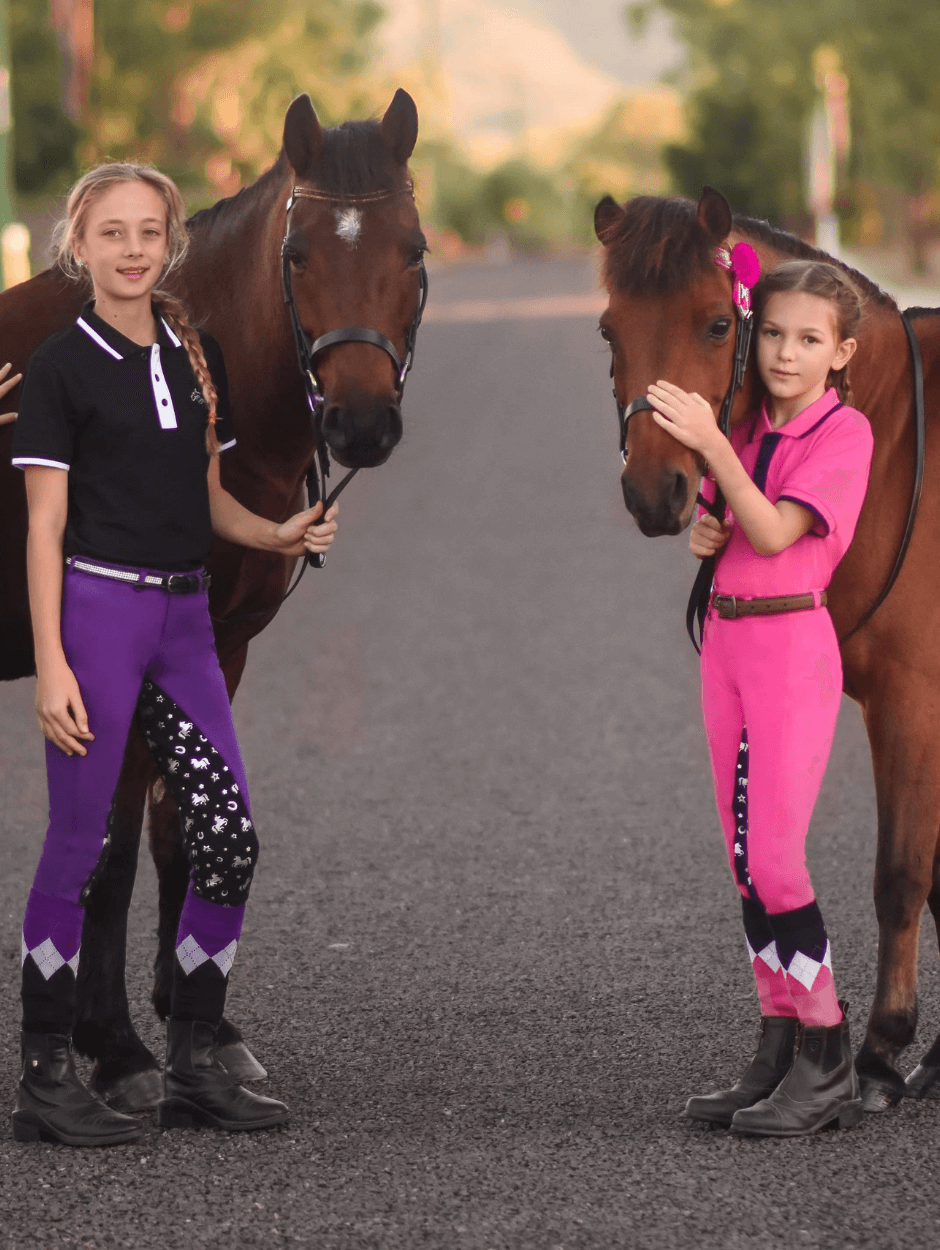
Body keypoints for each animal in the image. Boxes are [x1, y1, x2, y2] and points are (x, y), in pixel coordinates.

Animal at [0, 88, 425, 1110]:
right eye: (298, 253)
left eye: (414, 250)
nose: (361, 423)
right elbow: (111, 851)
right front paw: (114, 1048)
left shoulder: (218, 645)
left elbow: (179, 830)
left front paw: (203, 1030)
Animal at [595, 187, 940, 1115]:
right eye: (608, 330)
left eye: (720, 324)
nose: (654, 492)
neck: (895, 446)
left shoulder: (914, 701)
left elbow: (903, 872)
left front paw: (884, 1052)